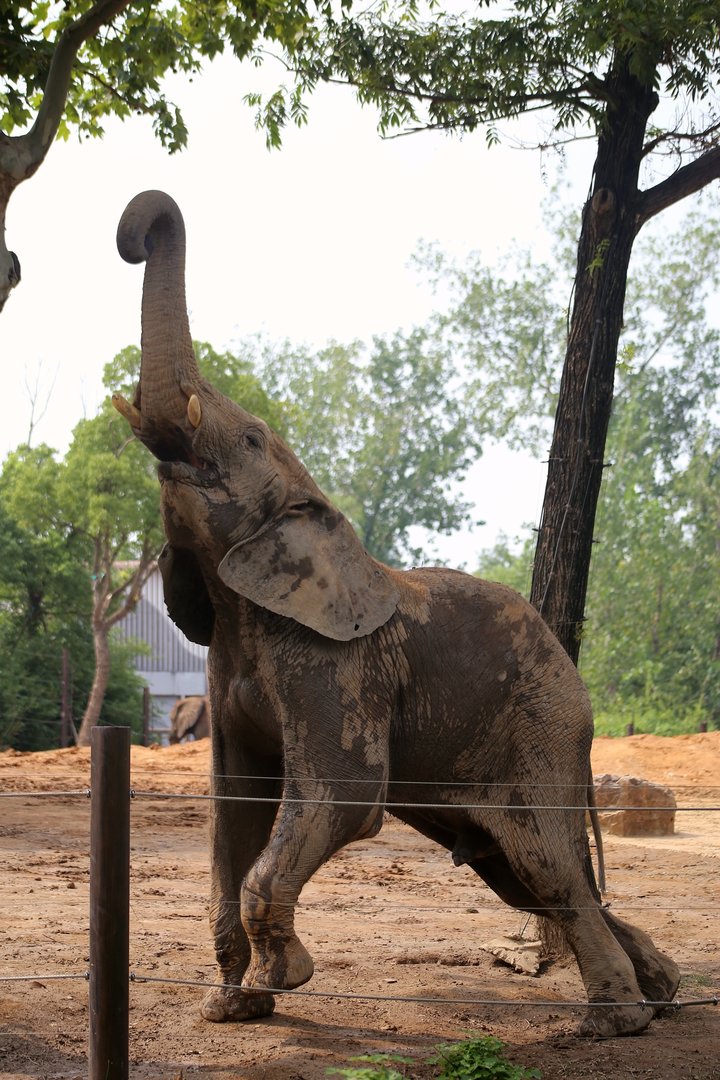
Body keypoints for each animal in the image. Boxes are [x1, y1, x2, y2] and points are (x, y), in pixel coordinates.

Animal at [113, 189, 679, 1039]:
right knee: (525, 875)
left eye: (247, 437)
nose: (135, 235)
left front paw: (287, 977)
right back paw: (664, 994)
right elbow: (236, 810)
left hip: (543, 727)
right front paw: (231, 1008)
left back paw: (614, 1024)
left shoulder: (335, 665)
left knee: (547, 867)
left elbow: (342, 797)